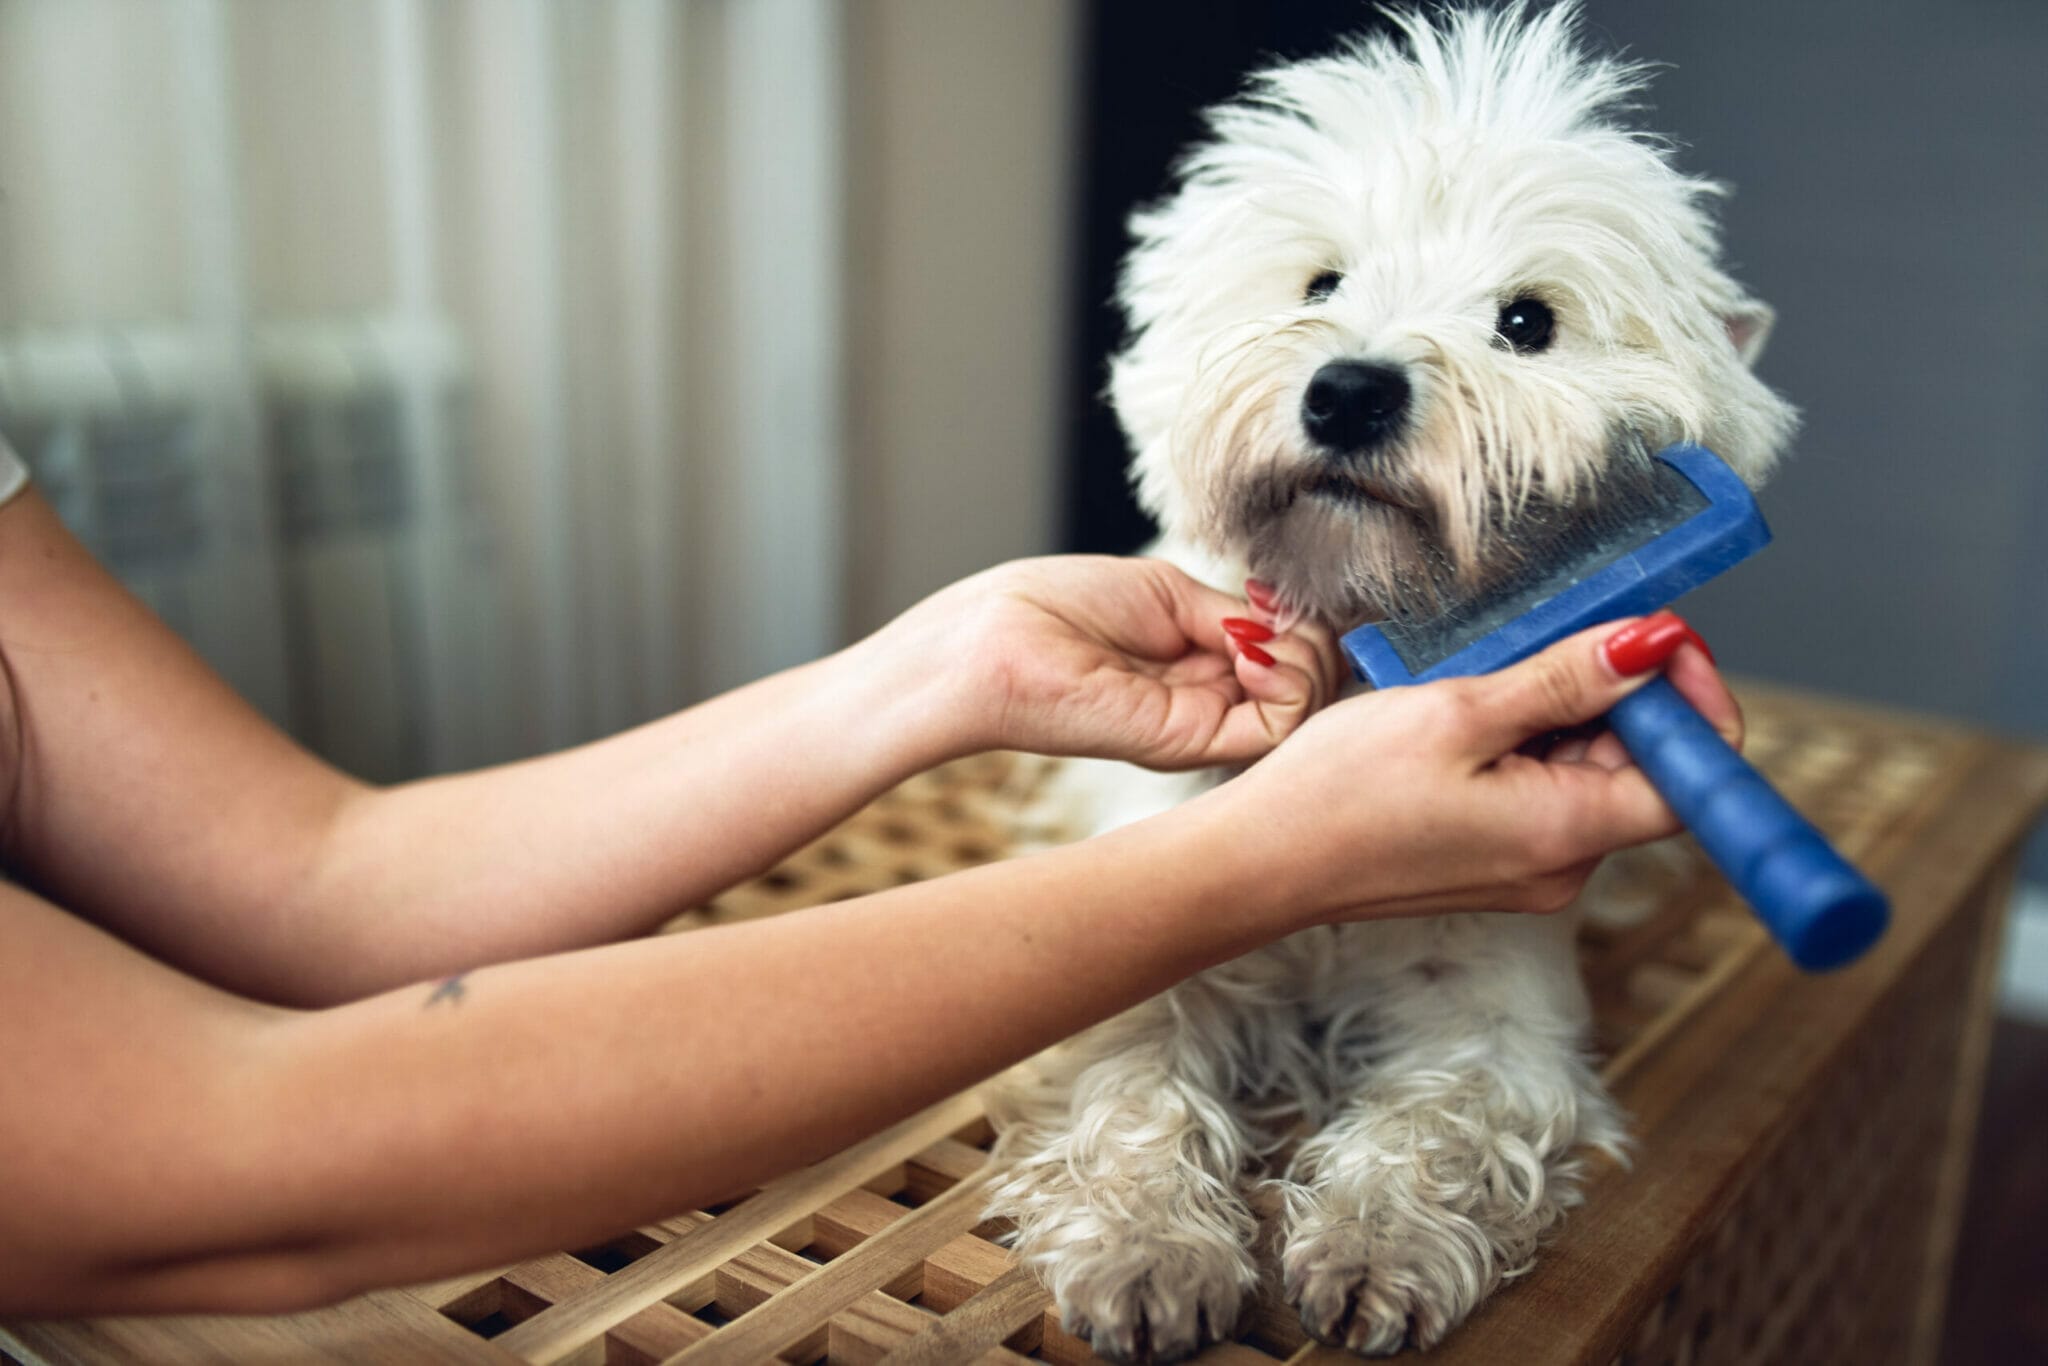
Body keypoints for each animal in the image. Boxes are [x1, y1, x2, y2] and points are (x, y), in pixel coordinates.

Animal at [983, 5, 1802, 1359]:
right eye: (1320, 283)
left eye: (1526, 322)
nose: (1349, 388)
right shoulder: (1138, 946)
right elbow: (1136, 1088)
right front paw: (1146, 1255)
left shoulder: (1493, 1011)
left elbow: (1441, 1123)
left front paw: (1372, 1253)